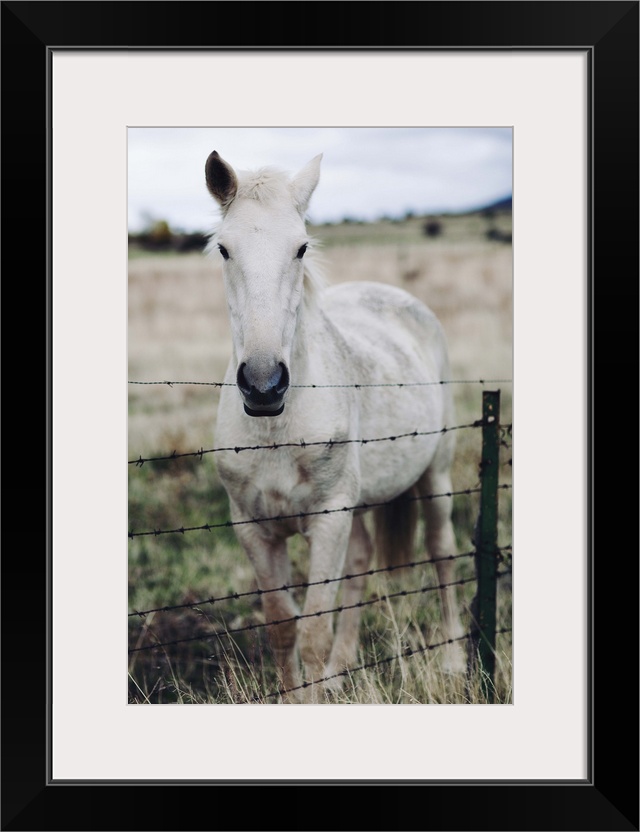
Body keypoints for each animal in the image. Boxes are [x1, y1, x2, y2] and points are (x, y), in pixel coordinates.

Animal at [205, 151, 464, 704]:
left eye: (301, 247)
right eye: (224, 249)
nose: (263, 385)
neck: (278, 431)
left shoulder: (328, 519)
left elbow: (313, 632)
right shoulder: (253, 528)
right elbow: (284, 628)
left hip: (435, 476)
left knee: (442, 552)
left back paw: (454, 657)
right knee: (362, 563)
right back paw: (344, 669)